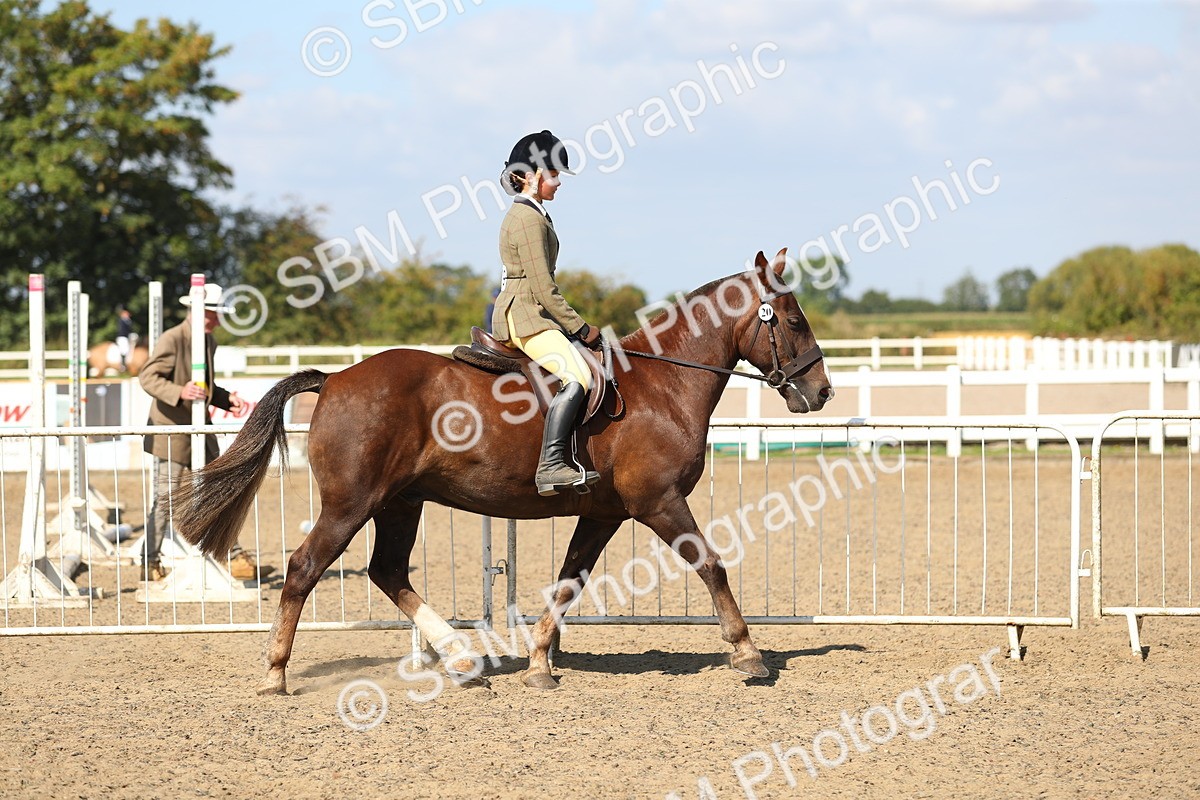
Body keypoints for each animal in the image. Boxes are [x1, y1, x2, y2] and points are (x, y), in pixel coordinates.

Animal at [173, 250, 834, 695]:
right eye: (792, 320)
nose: (821, 392)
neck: (663, 385)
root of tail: (335, 378)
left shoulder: (603, 513)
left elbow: (568, 583)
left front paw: (540, 661)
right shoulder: (659, 503)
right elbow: (712, 565)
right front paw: (747, 653)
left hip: (400, 503)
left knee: (388, 571)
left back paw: (463, 661)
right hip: (350, 504)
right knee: (304, 568)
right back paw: (276, 673)